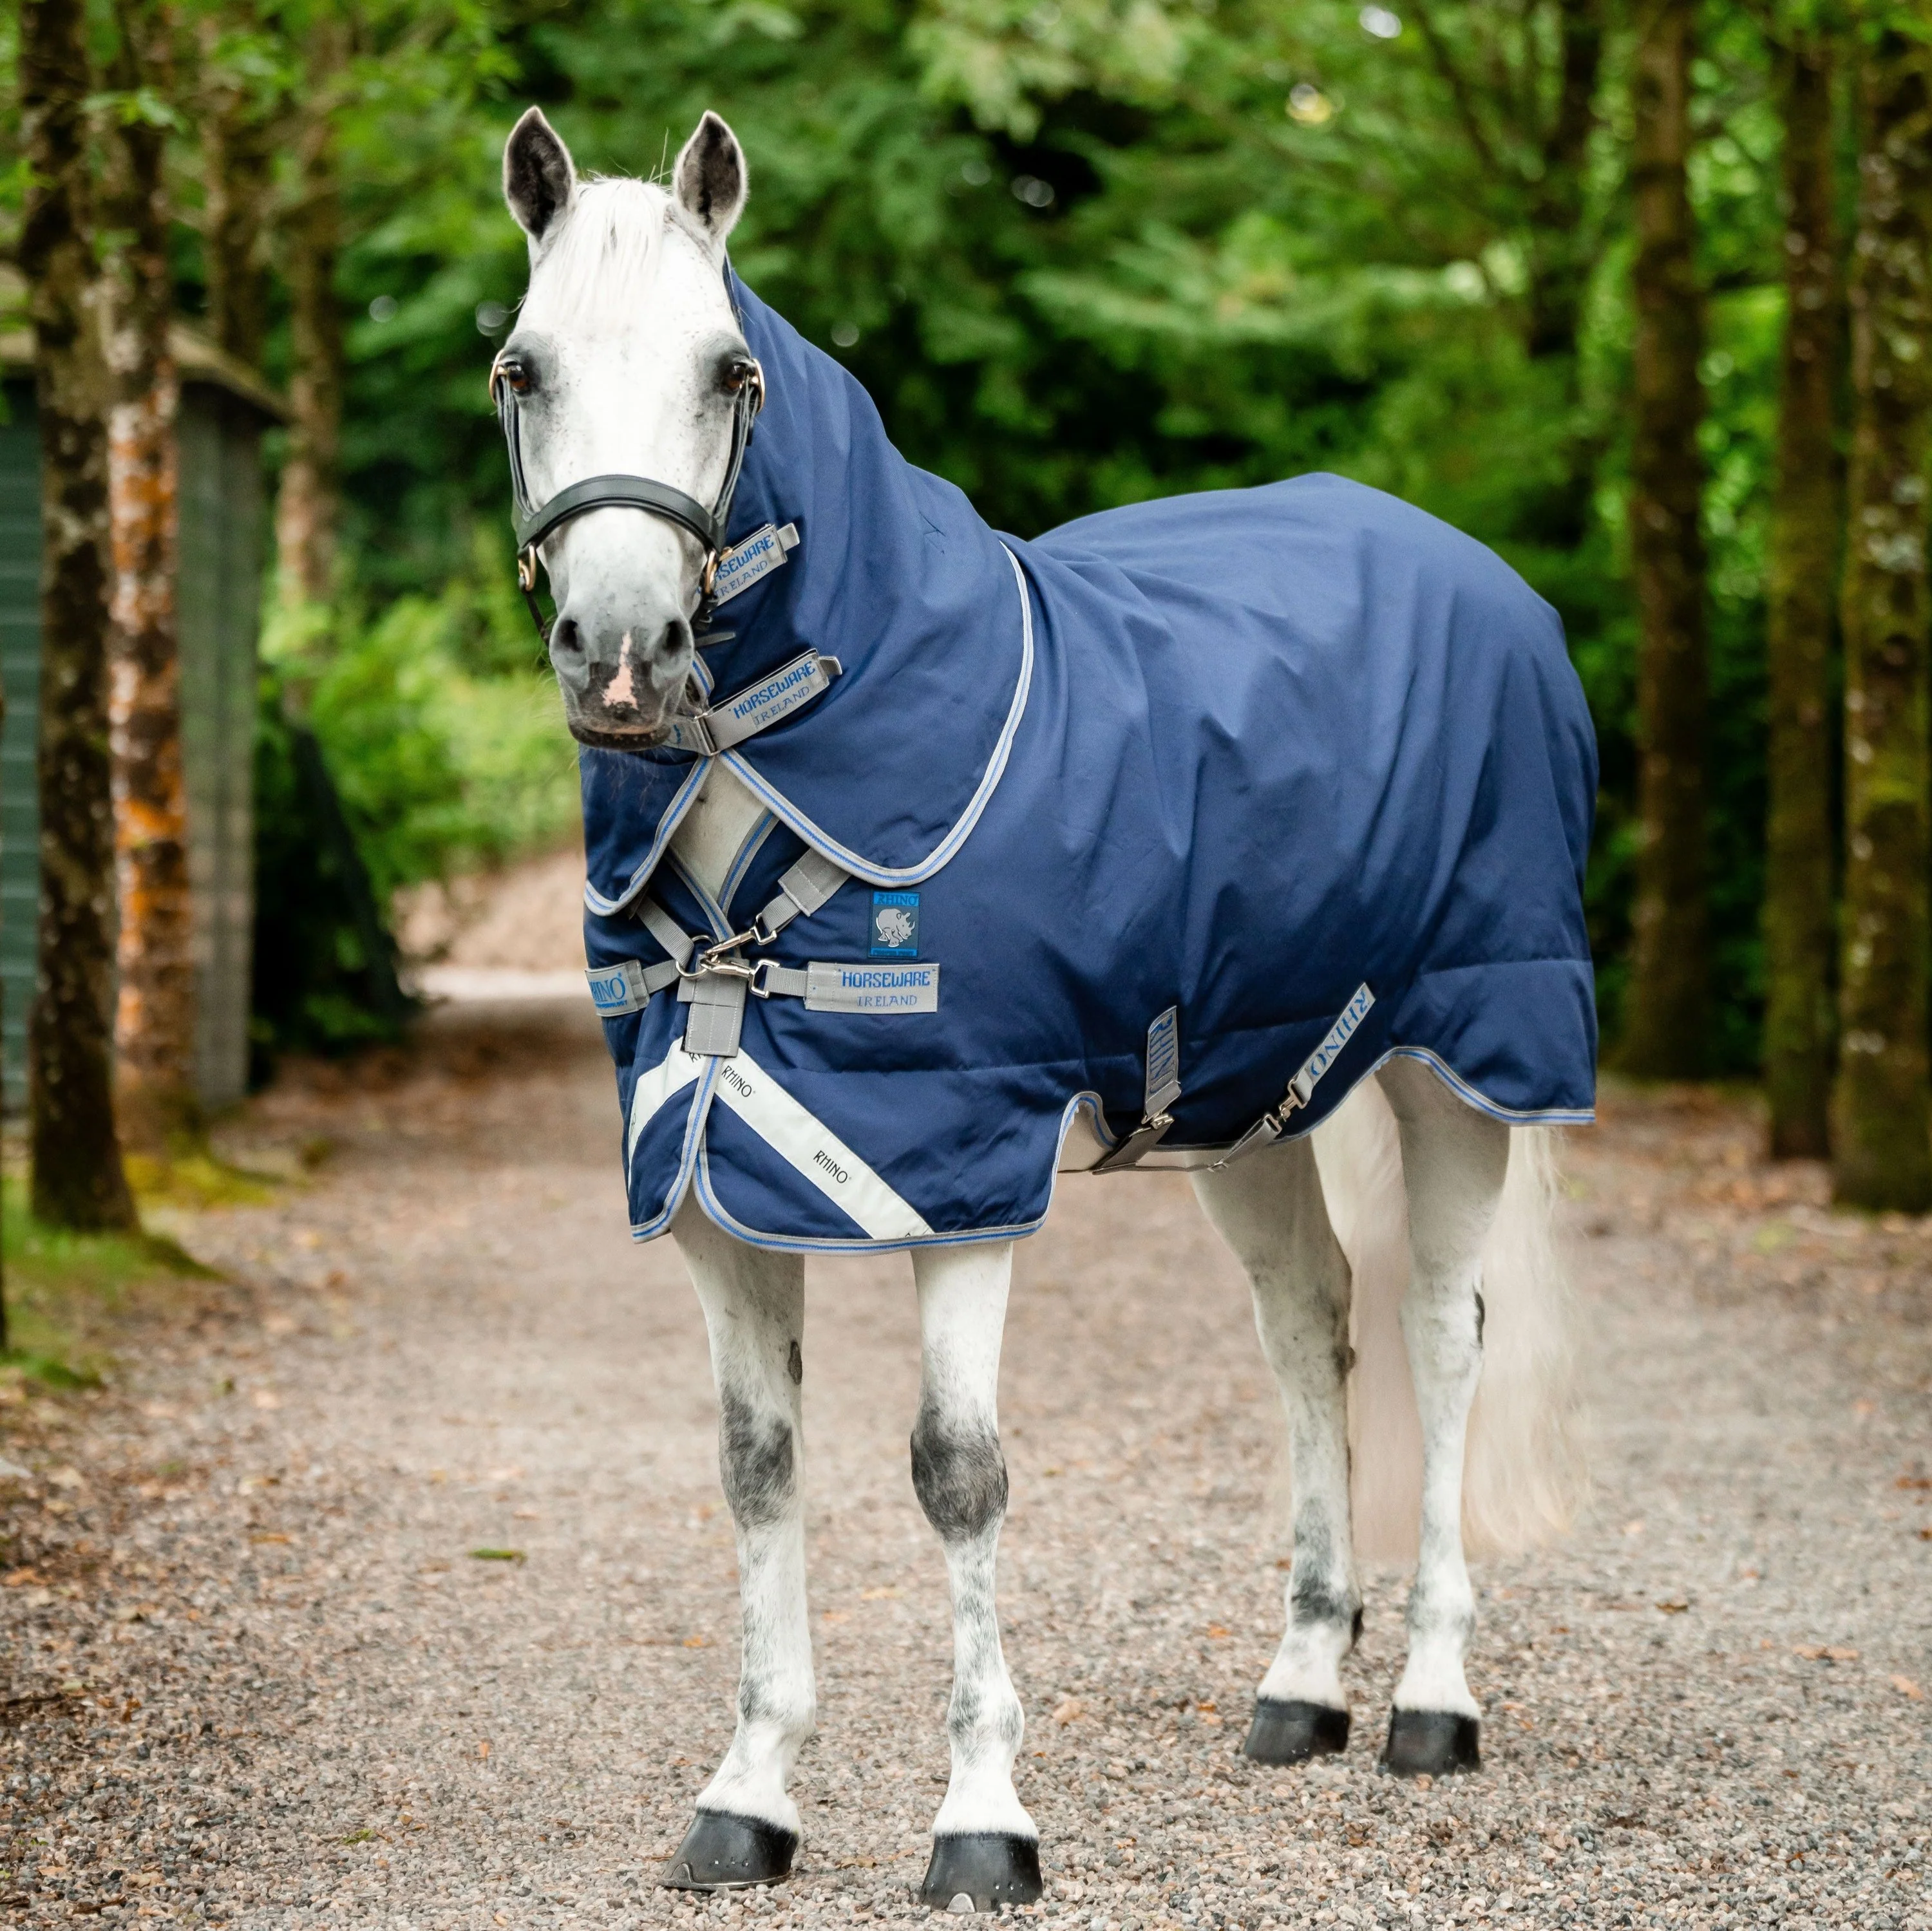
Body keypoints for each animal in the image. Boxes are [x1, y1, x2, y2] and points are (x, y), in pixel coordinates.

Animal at [491, 106, 1595, 1910]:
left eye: (732, 372)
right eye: (524, 367)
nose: (624, 656)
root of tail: (1482, 578)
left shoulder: (954, 1174)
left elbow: (957, 1472)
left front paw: (981, 1818)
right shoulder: (713, 1177)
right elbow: (756, 1464)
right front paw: (749, 1793)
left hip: (1463, 1062)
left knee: (1442, 1333)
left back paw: (1433, 1696)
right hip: (1247, 1100)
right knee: (1311, 1326)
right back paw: (1303, 1683)